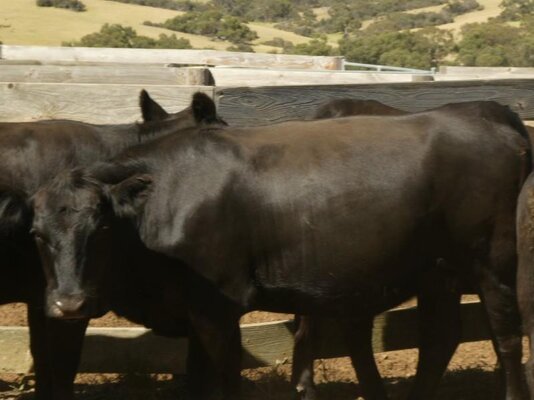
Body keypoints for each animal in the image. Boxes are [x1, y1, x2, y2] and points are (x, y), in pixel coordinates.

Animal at [33, 101, 532, 398]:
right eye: (37, 234)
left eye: (100, 228)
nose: (68, 304)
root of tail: (484, 118)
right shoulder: (195, 313)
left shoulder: (217, 309)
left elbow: (225, 380)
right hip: (437, 271)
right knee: (441, 337)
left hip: (493, 261)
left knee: (506, 337)